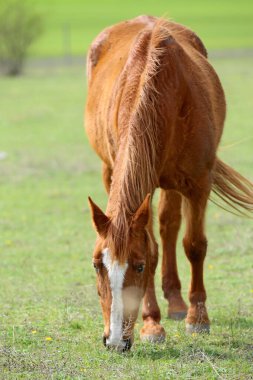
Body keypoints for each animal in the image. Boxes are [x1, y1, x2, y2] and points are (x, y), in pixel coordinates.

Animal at [85, 16, 253, 352]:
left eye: (136, 267)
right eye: (98, 265)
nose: (115, 341)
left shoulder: (198, 182)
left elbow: (194, 245)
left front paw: (198, 318)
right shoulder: (144, 187)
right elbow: (155, 248)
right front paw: (152, 324)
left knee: (170, 226)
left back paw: (177, 304)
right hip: (113, 172)